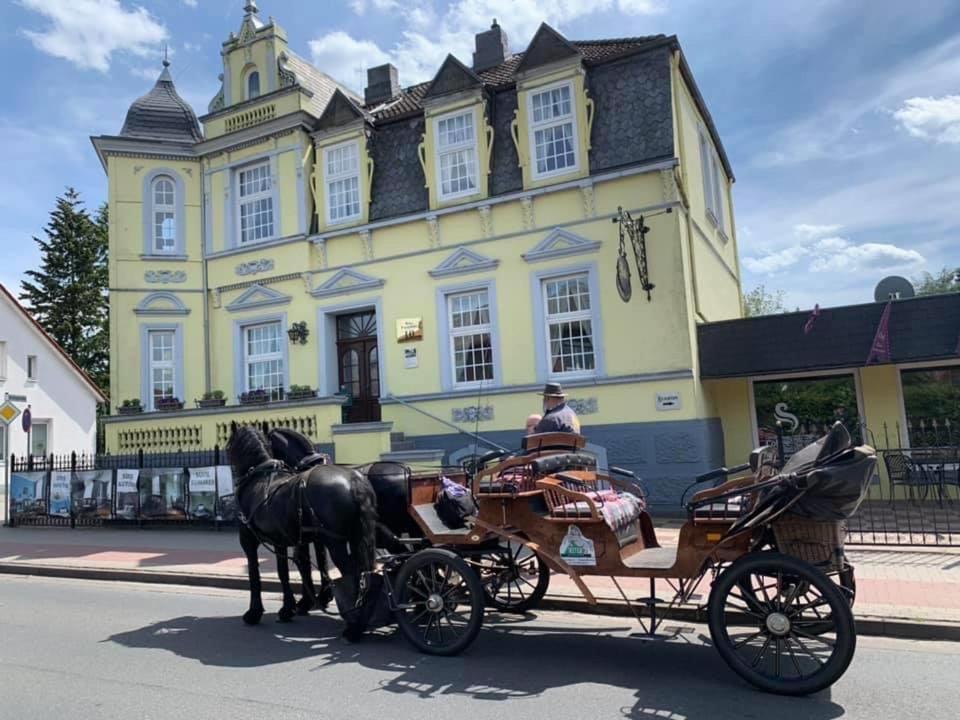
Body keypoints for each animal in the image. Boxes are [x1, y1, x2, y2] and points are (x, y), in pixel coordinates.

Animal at [227, 424, 376, 640]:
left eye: (229, 445)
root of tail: (354, 481)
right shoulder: (284, 540)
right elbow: (288, 571)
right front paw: (291, 607)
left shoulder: (248, 539)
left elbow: (255, 574)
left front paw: (254, 612)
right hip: (359, 538)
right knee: (366, 571)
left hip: (336, 542)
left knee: (351, 574)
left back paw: (354, 627)